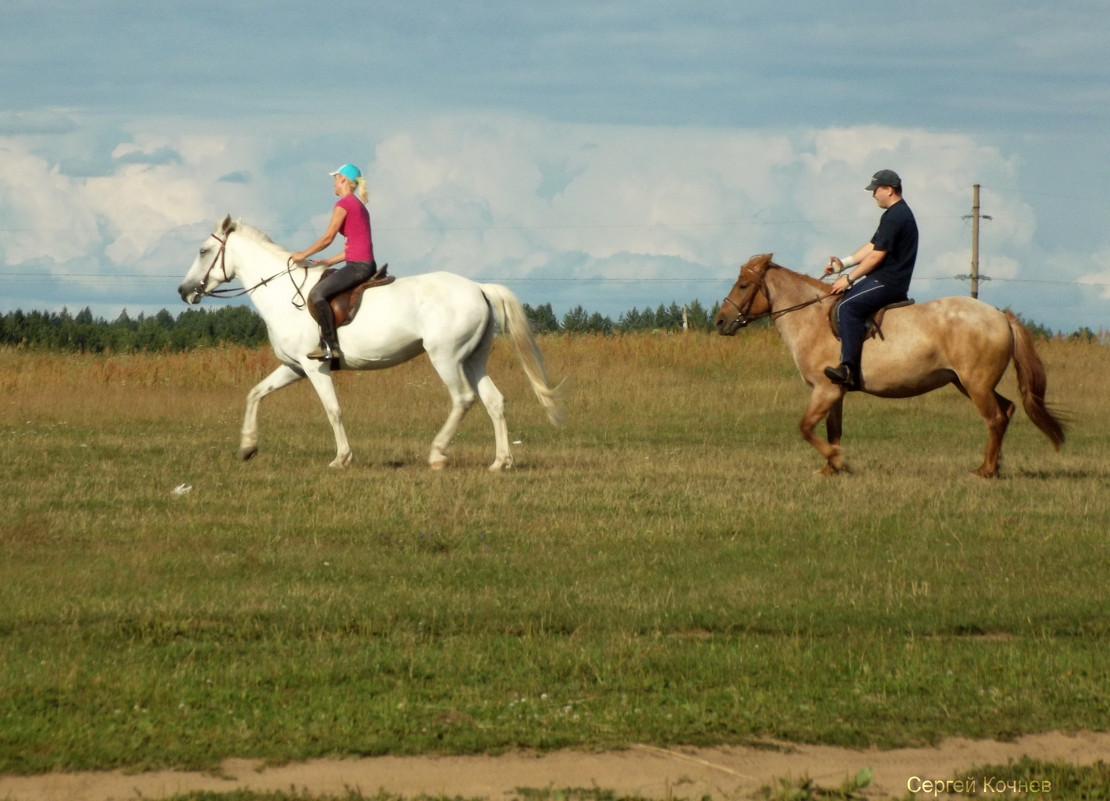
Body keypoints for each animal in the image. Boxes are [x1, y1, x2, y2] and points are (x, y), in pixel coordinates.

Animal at [179, 215, 563, 470]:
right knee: (494, 402)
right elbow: (255, 394)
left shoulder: (314, 368)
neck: (283, 292)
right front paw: (247, 447)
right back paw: (501, 462)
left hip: (446, 358)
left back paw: (438, 453)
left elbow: (332, 410)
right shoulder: (294, 368)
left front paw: (341, 458)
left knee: (463, 399)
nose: (184, 291)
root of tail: (480, 288)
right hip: (473, 359)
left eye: (203, 250)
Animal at [714, 250, 1061, 474]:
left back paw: (986, 471)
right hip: (969, 384)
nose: (720, 322)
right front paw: (831, 468)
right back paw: (993, 465)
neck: (813, 318)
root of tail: (999, 316)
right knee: (1007, 410)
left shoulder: (825, 390)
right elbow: (832, 430)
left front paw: (838, 461)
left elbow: (805, 427)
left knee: (995, 419)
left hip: (975, 385)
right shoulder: (835, 392)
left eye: (743, 285)